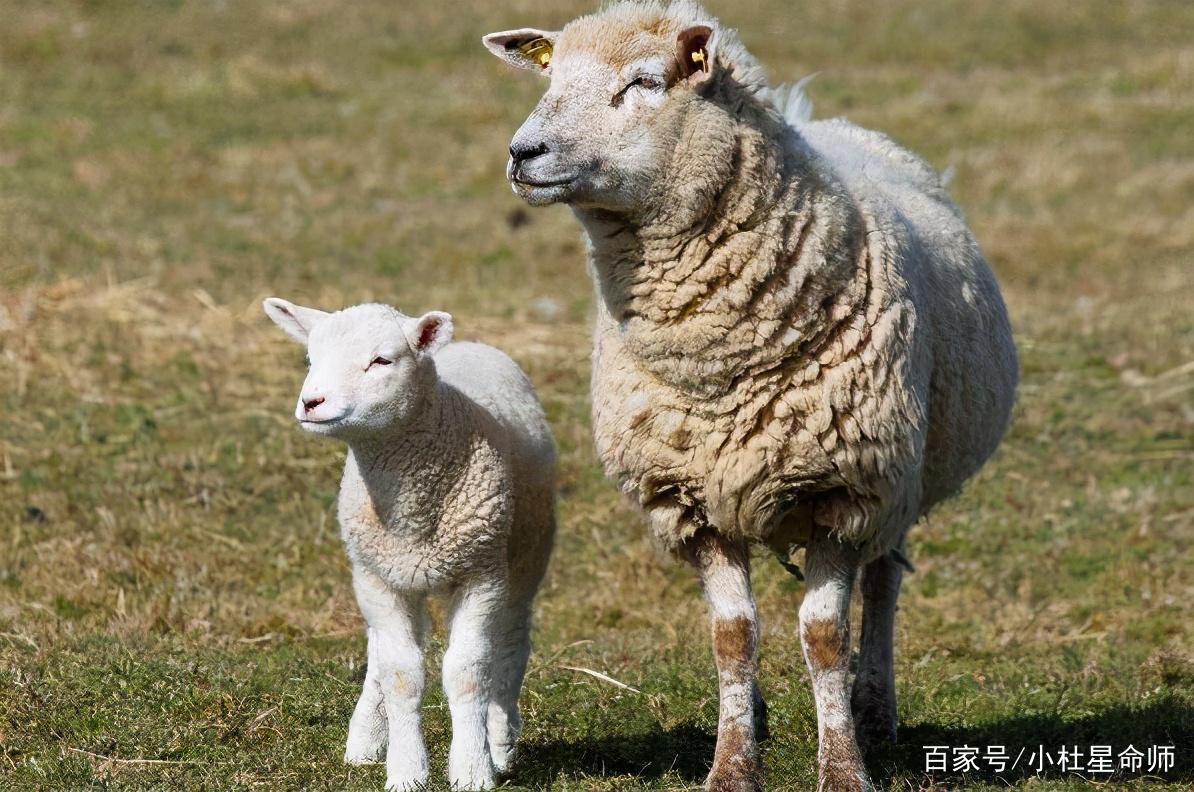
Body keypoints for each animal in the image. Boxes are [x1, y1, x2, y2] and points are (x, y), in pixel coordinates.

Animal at [261, 298, 554, 792]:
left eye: (382, 361)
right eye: (310, 359)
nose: (311, 403)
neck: (412, 512)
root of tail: (471, 344)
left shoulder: (481, 573)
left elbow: (467, 672)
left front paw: (473, 768)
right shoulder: (378, 579)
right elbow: (399, 673)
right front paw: (405, 770)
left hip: (526, 555)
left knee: (511, 641)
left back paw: (500, 741)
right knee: (381, 652)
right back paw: (365, 739)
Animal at [479, 3, 1022, 788]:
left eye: (644, 81)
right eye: (551, 78)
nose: (524, 153)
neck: (721, 359)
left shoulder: (845, 491)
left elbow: (825, 636)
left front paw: (842, 767)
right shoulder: (689, 497)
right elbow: (732, 635)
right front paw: (733, 763)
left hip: (900, 479)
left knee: (883, 585)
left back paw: (873, 709)